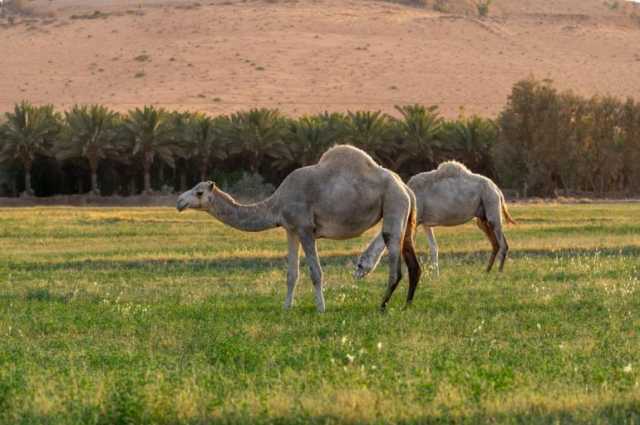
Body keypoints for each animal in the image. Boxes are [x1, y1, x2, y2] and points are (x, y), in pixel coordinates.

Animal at [356, 161, 516, 276]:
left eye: (360, 263)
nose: (356, 275)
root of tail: (497, 190)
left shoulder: (415, 220)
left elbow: (409, 246)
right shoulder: (425, 222)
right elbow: (434, 248)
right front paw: (435, 275)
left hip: (491, 203)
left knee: (503, 242)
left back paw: (499, 272)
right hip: (482, 217)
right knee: (494, 243)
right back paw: (487, 271)